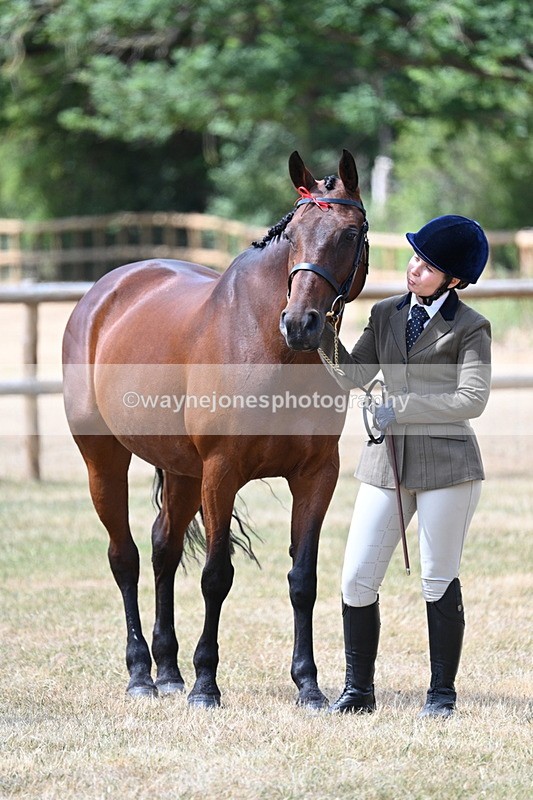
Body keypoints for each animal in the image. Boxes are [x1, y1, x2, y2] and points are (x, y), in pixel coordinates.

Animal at [62, 149, 369, 709]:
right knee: (125, 558)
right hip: (104, 460)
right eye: (293, 235)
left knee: (162, 549)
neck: (270, 348)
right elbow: (216, 576)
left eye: (350, 233)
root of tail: (103, 293)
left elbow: (303, 578)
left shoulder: (317, 474)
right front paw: (207, 684)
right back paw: (141, 675)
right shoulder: (221, 473)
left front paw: (309, 685)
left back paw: (168, 670)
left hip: (182, 471)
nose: (301, 324)